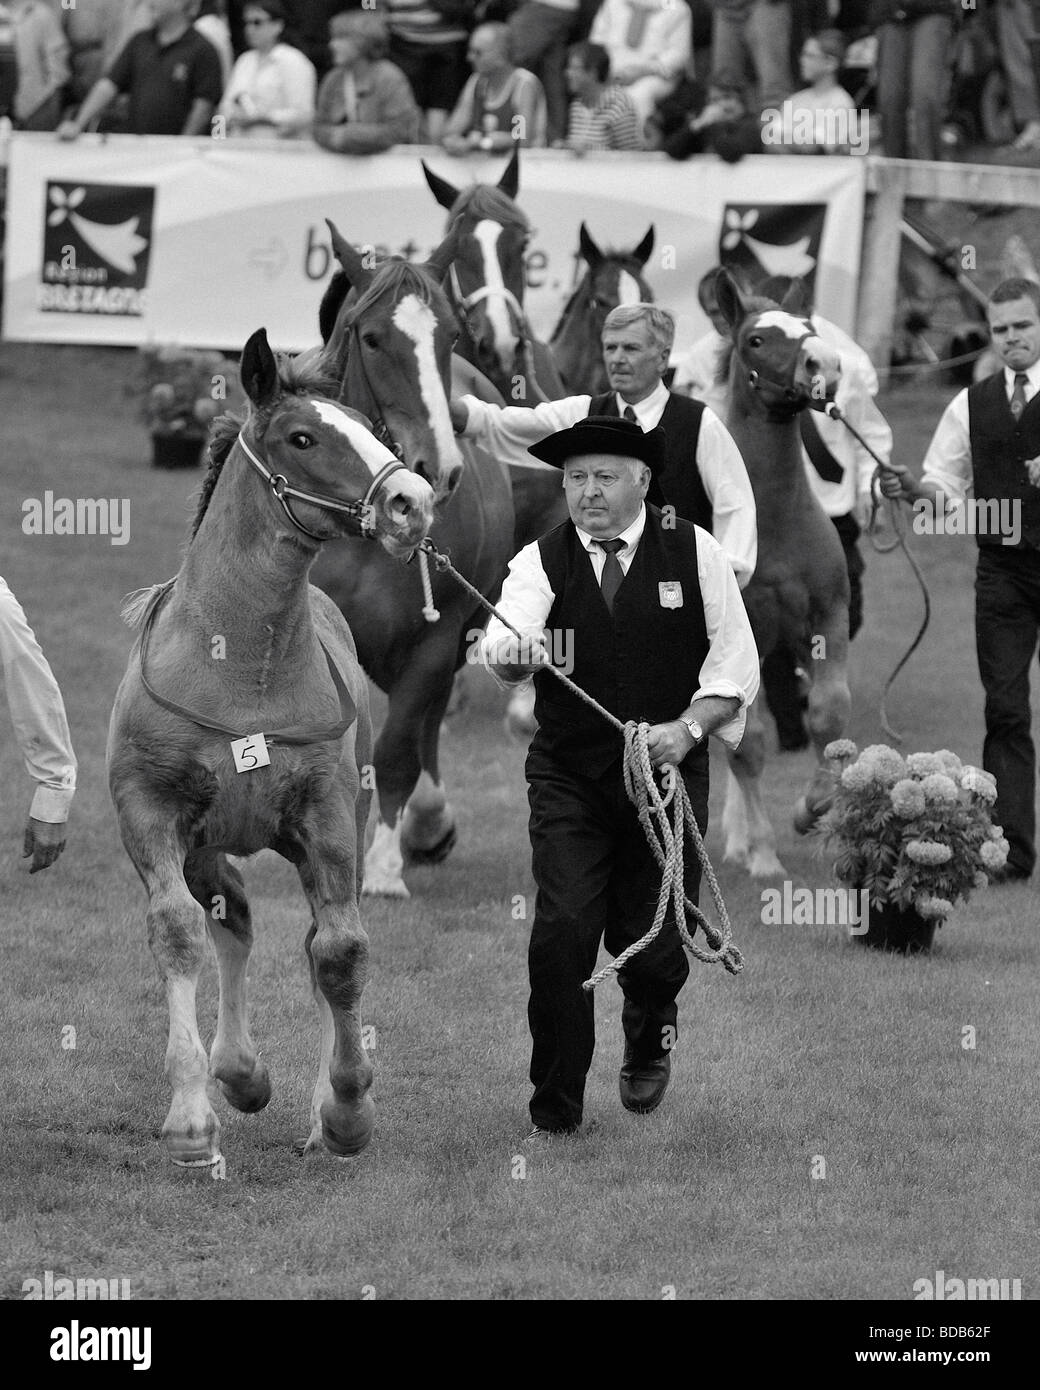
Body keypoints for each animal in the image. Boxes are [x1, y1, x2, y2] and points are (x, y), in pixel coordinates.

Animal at [111, 325, 436, 1162]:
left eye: (372, 430)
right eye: (302, 437)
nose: (411, 503)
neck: (239, 666)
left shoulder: (327, 817)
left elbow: (339, 953)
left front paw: (346, 1109)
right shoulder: (153, 814)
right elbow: (179, 932)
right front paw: (194, 1112)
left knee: (311, 939)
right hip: (208, 844)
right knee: (233, 917)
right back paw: (239, 1071)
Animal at [311, 225, 517, 900]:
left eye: (450, 335)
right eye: (372, 337)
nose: (440, 468)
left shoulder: (434, 642)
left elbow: (399, 749)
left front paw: (381, 870)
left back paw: (426, 824)